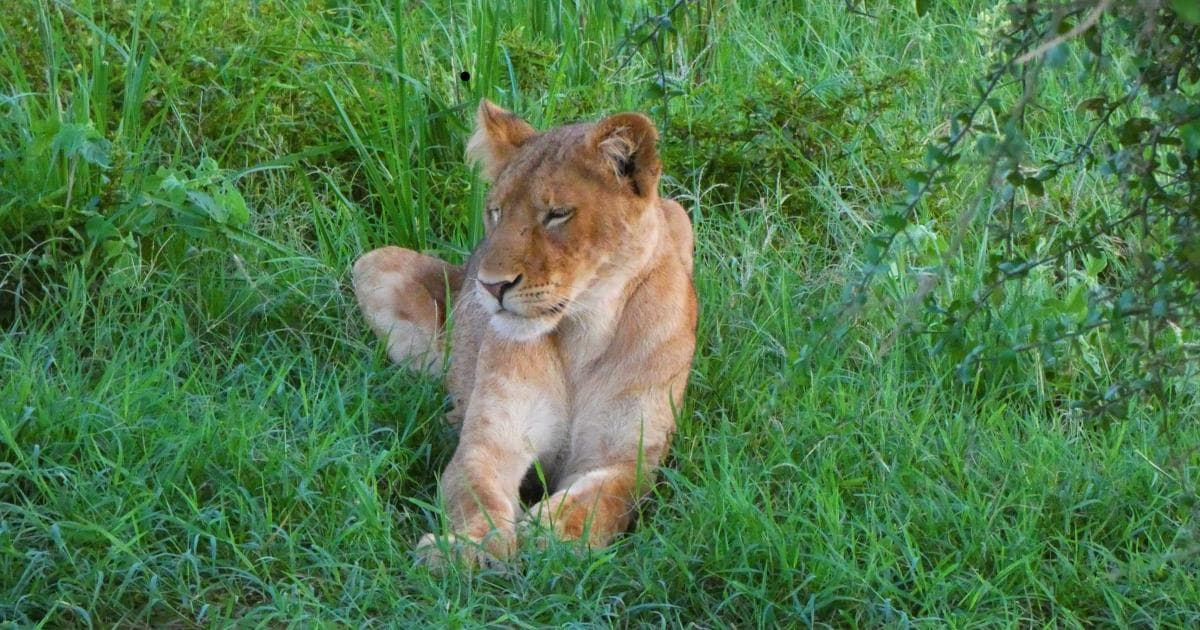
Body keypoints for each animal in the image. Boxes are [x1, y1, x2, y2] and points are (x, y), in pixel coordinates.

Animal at [350, 100, 700, 566]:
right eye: (496, 212)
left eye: (557, 214)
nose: (490, 286)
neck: (584, 333)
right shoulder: (492, 441)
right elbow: (475, 491)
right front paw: (468, 547)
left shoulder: (629, 457)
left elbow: (600, 499)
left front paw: (549, 535)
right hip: (372, 264)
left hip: (680, 215)